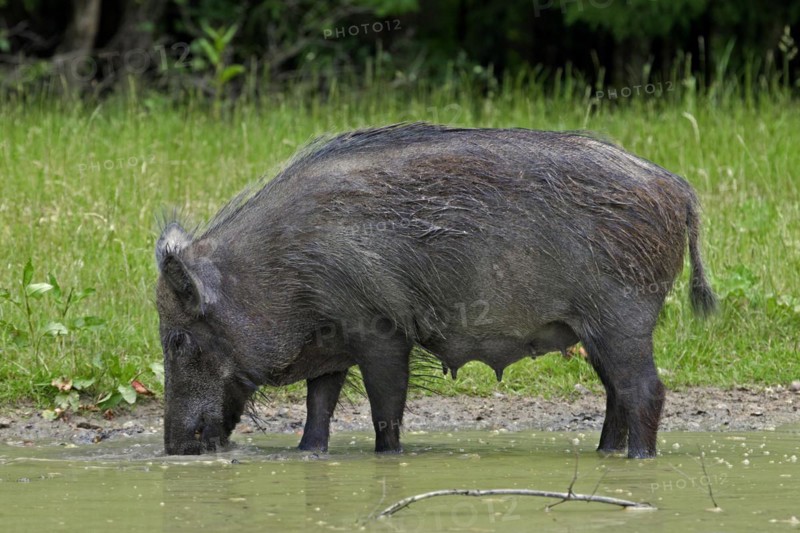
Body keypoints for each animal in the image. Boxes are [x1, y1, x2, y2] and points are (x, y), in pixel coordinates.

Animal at [155, 123, 716, 458]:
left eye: (178, 340)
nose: (174, 447)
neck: (282, 268)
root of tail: (680, 190)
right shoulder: (330, 342)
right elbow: (320, 404)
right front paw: (308, 454)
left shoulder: (381, 330)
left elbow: (385, 406)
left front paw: (388, 459)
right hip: (596, 330)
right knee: (616, 394)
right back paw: (605, 454)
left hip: (622, 317)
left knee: (646, 390)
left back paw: (638, 460)